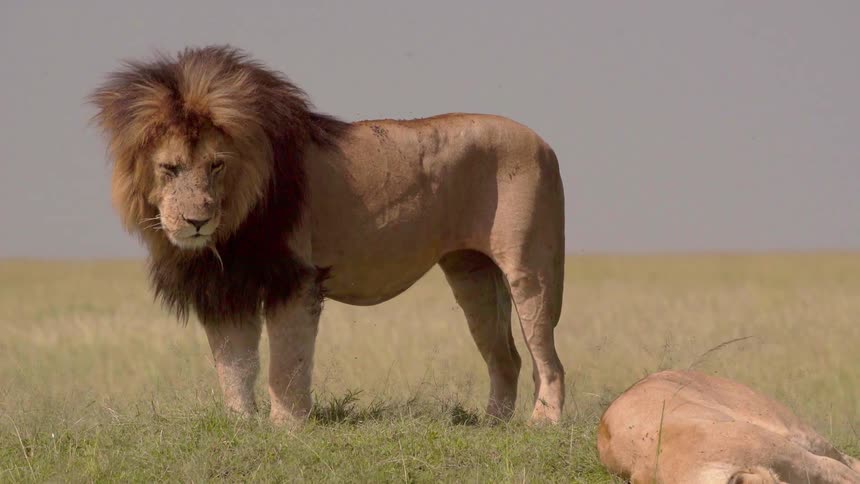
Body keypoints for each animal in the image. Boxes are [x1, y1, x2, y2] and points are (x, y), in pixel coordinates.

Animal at [89, 45, 566, 426]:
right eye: (169, 168)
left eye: (216, 165)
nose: (196, 221)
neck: (231, 222)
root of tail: (544, 143)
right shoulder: (227, 287)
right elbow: (234, 366)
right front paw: (241, 425)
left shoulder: (294, 278)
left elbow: (285, 364)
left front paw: (287, 426)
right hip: (472, 274)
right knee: (506, 357)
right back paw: (493, 425)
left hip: (530, 268)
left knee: (548, 357)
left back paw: (543, 423)